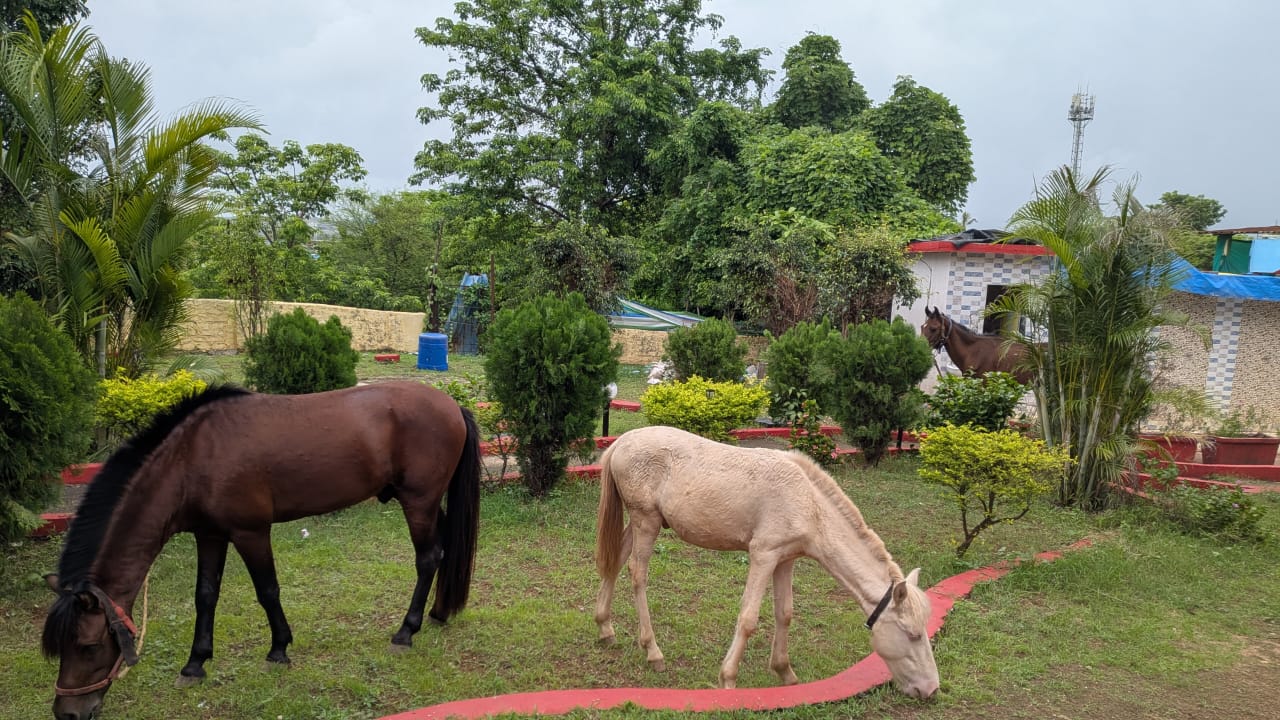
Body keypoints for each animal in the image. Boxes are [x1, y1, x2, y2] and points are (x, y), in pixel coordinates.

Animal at [41, 382, 481, 720]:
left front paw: (279, 649)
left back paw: (407, 630)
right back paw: (439, 612)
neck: (193, 456)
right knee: (444, 551)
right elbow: (205, 596)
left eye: (88, 646)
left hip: (418, 502)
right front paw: (195, 663)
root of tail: (451, 405)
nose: (68, 713)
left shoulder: (250, 532)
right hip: (428, 505)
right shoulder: (210, 535)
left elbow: (267, 591)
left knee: (427, 559)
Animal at [593, 425, 939, 699]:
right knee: (637, 574)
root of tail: (622, 442)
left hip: (639, 523)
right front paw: (728, 678)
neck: (807, 502)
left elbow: (784, 614)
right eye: (912, 634)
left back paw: (605, 628)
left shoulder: (785, 559)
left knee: (616, 560)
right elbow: (748, 617)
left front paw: (785, 672)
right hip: (646, 521)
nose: (931, 689)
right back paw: (653, 651)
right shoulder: (764, 555)